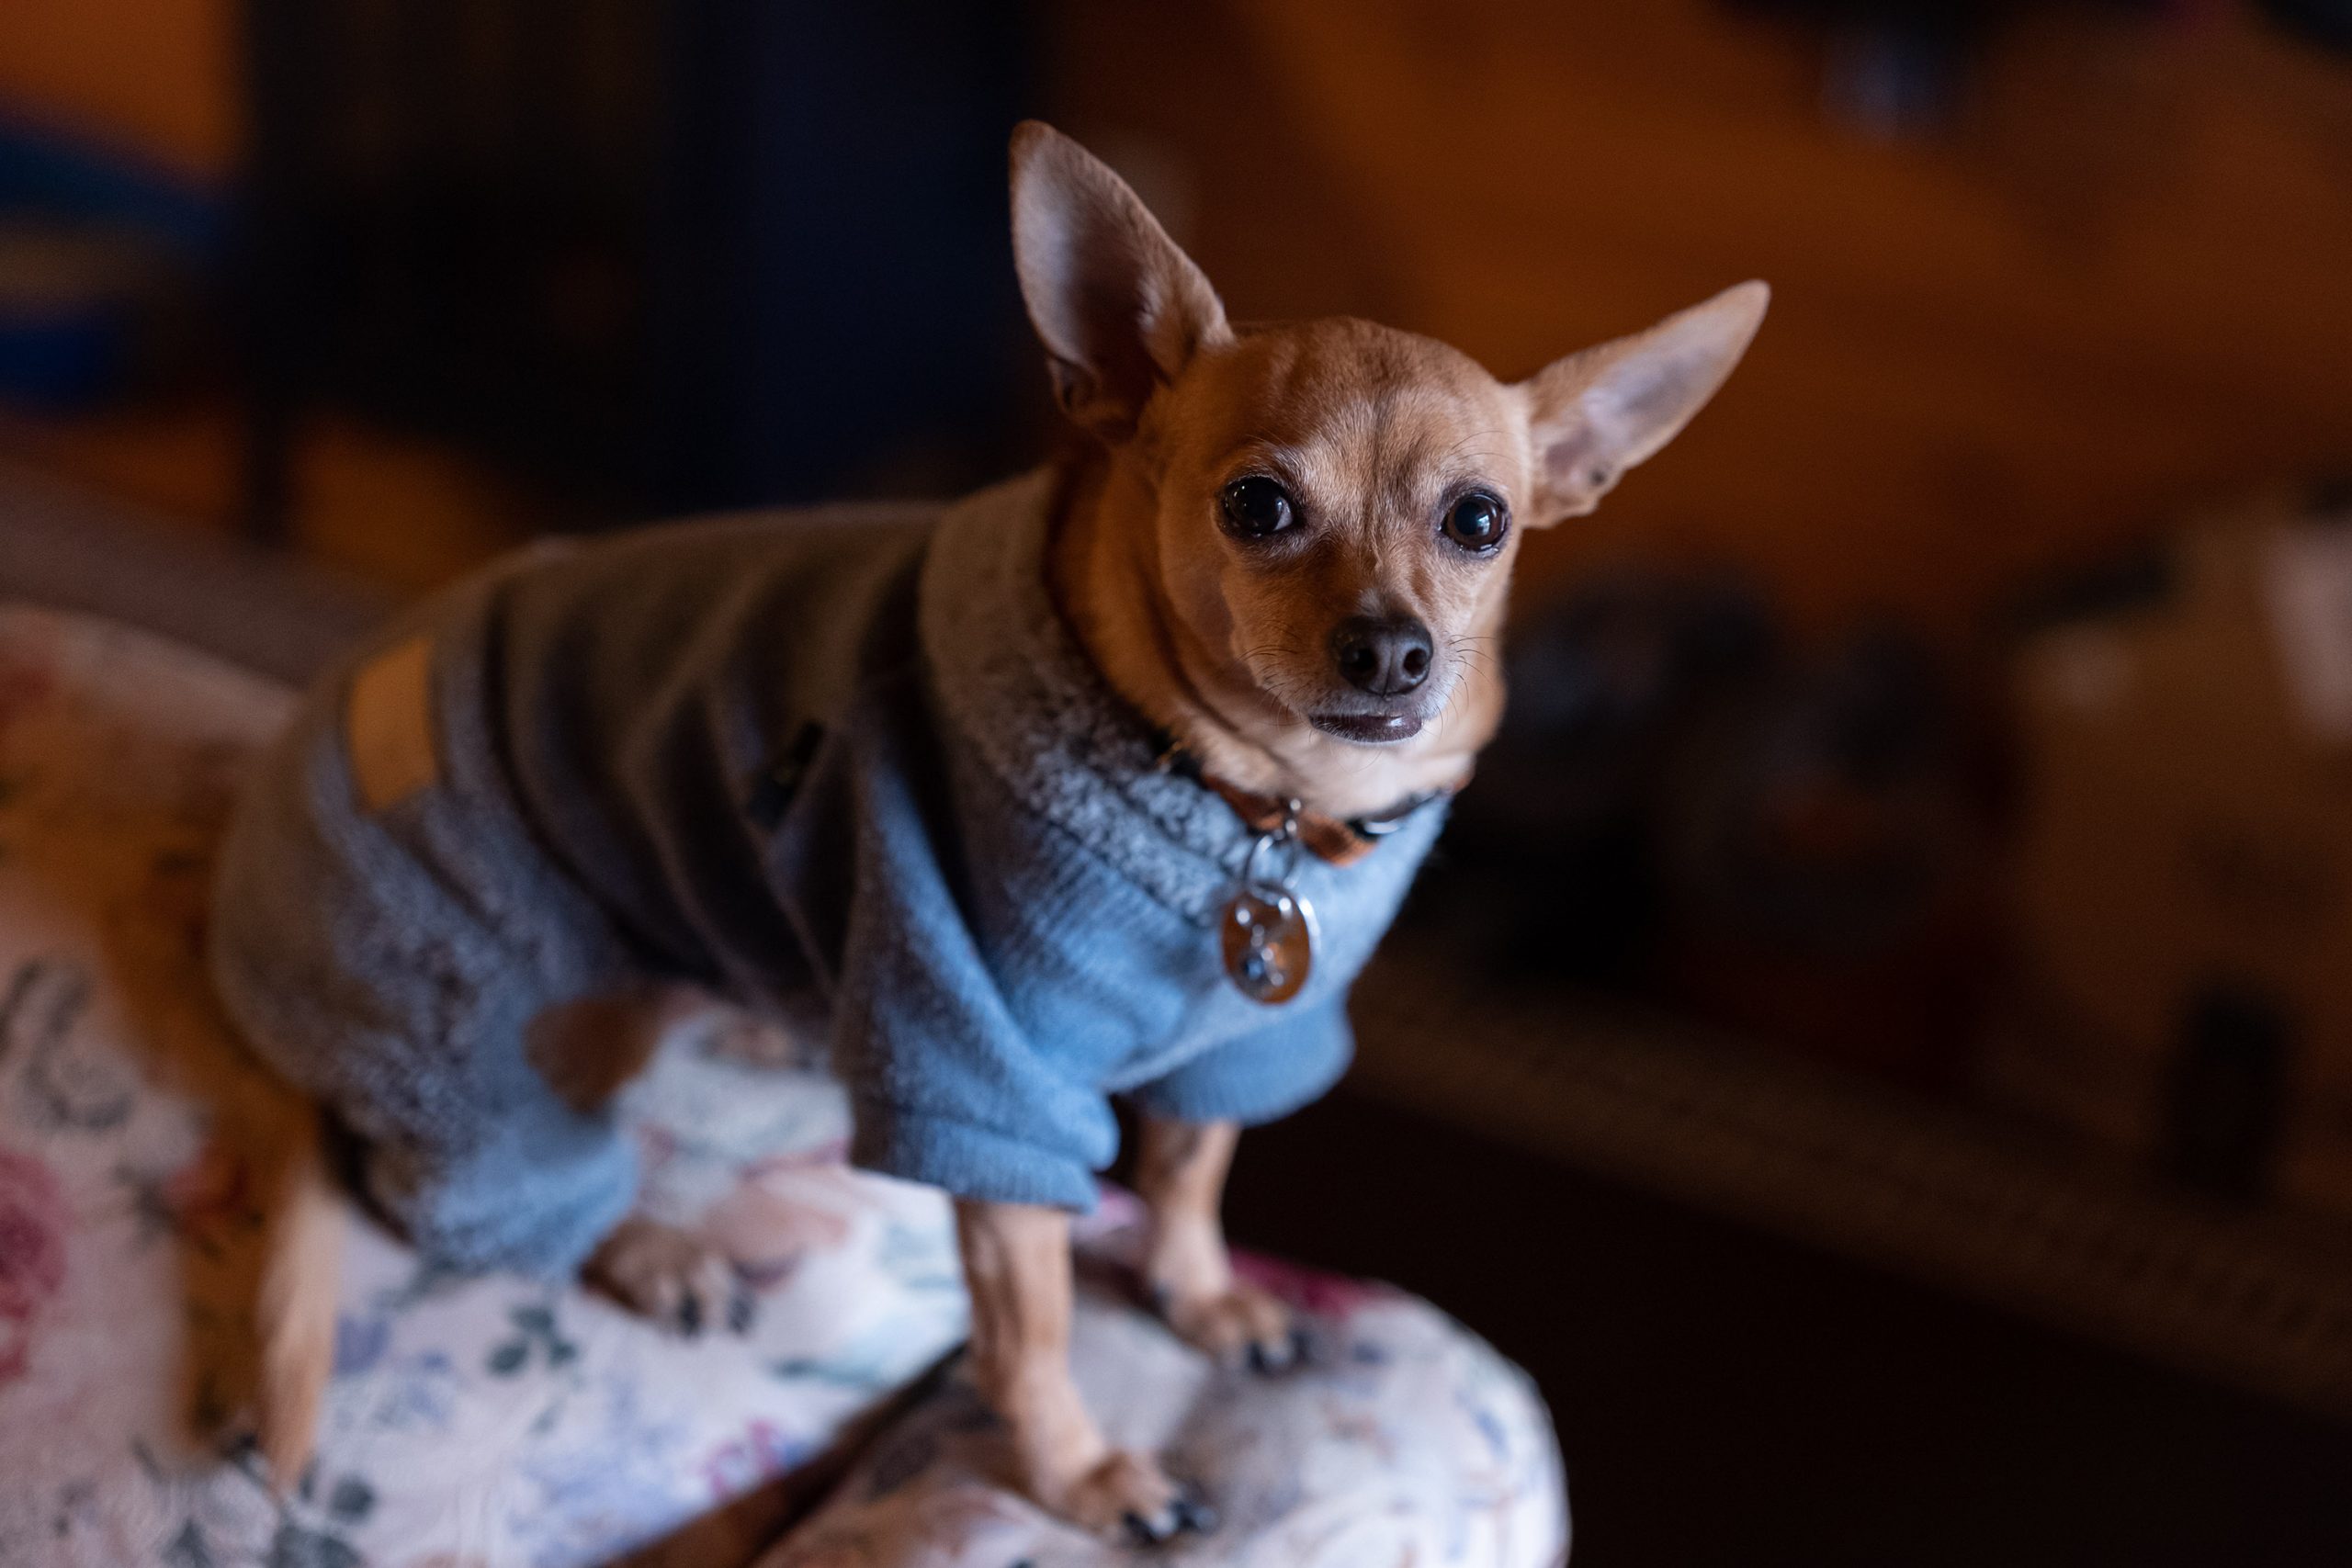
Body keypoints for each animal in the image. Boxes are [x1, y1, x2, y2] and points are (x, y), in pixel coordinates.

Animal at [210, 120, 1765, 1540]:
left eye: (1480, 521)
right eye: (1259, 506)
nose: (1391, 651)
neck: (1252, 811)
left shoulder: (1243, 1040)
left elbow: (1190, 1174)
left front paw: (1206, 1297)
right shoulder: (984, 1083)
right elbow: (1037, 1324)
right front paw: (1080, 1474)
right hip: (530, 1009)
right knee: (455, 1180)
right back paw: (646, 1245)